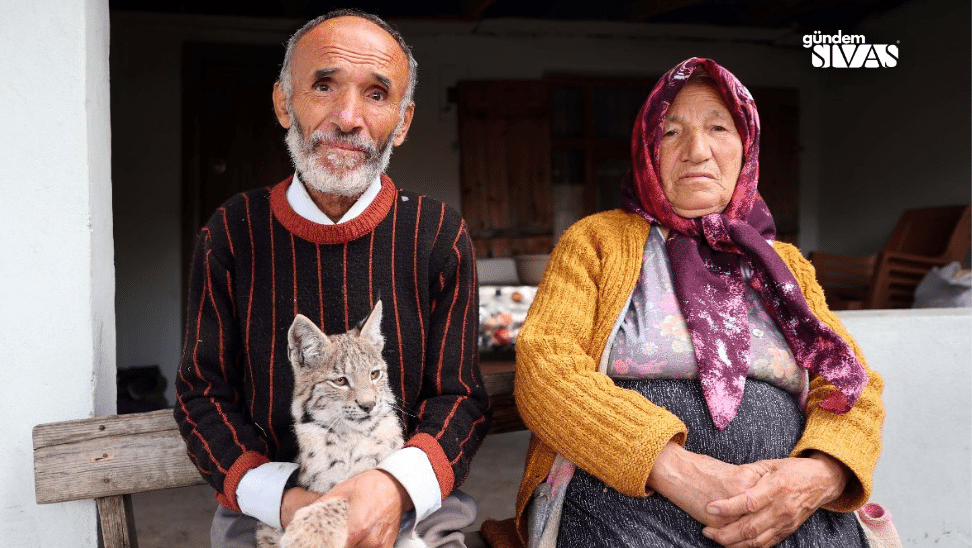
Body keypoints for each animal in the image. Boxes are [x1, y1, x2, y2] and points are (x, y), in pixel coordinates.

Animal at [258, 302, 426, 548]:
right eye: (340, 381)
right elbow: (337, 495)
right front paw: (312, 534)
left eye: (374, 374)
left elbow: (345, 496)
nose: (369, 405)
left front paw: (309, 535)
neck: (350, 435)